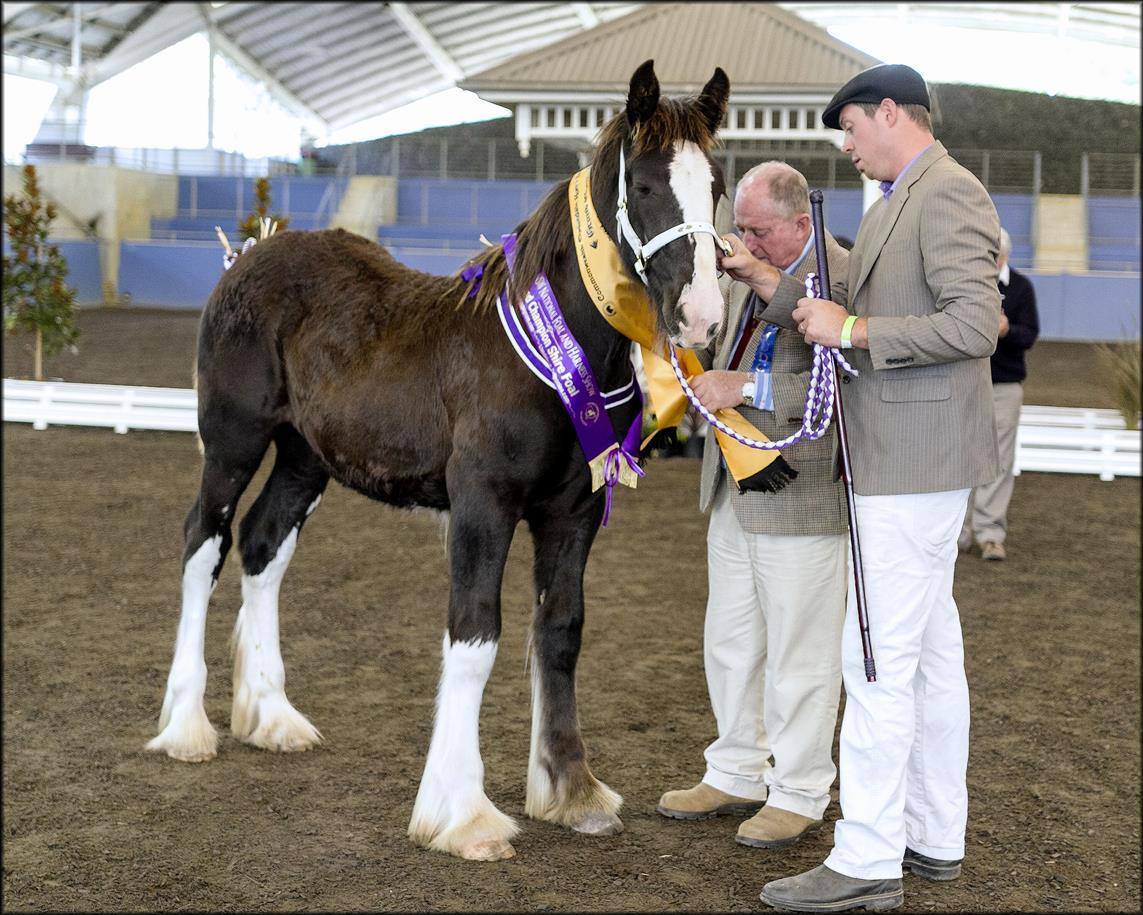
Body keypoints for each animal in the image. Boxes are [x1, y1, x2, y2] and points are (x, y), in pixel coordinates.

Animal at [146, 59, 730, 862]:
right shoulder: (483, 505)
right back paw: (186, 727)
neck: (547, 350)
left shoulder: (573, 512)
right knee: (202, 545)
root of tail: (250, 256)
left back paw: (271, 716)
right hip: (233, 444)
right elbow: (475, 636)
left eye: (717, 184)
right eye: (642, 184)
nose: (702, 315)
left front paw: (572, 791)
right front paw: (462, 814)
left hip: (304, 460)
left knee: (262, 547)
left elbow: (561, 632)